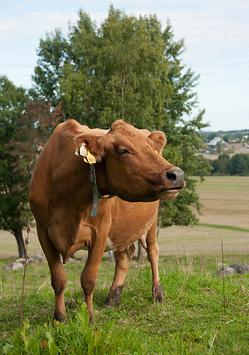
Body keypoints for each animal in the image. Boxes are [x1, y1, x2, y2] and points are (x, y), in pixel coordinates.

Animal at [29, 120, 185, 322]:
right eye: (123, 150)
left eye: (151, 147)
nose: (177, 174)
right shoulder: (43, 230)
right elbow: (58, 278)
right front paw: (60, 317)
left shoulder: (100, 231)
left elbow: (88, 279)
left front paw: (89, 318)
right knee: (125, 255)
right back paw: (113, 296)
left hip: (151, 222)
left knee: (152, 251)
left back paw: (157, 293)